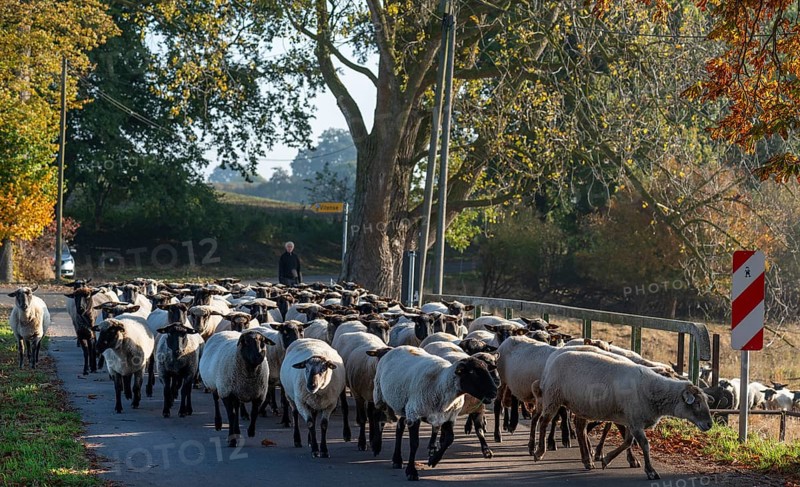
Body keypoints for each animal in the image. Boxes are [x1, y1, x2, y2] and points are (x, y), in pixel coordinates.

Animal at [371, 346, 497, 481]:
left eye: (487, 370)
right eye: (473, 372)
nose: (495, 392)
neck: (441, 385)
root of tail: (395, 348)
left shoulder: (448, 417)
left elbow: (450, 439)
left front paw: (433, 460)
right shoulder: (415, 414)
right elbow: (414, 443)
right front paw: (411, 471)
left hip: (405, 406)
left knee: (399, 428)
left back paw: (397, 460)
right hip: (380, 394)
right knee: (378, 418)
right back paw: (376, 446)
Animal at [531, 349, 713, 480]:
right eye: (697, 403)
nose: (710, 424)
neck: (653, 390)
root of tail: (554, 357)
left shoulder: (632, 420)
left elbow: (627, 442)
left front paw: (607, 459)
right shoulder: (635, 420)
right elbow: (644, 444)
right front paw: (651, 471)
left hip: (579, 403)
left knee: (580, 429)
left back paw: (588, 461)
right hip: (553, 396)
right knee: (544, 421)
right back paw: (539, 452)